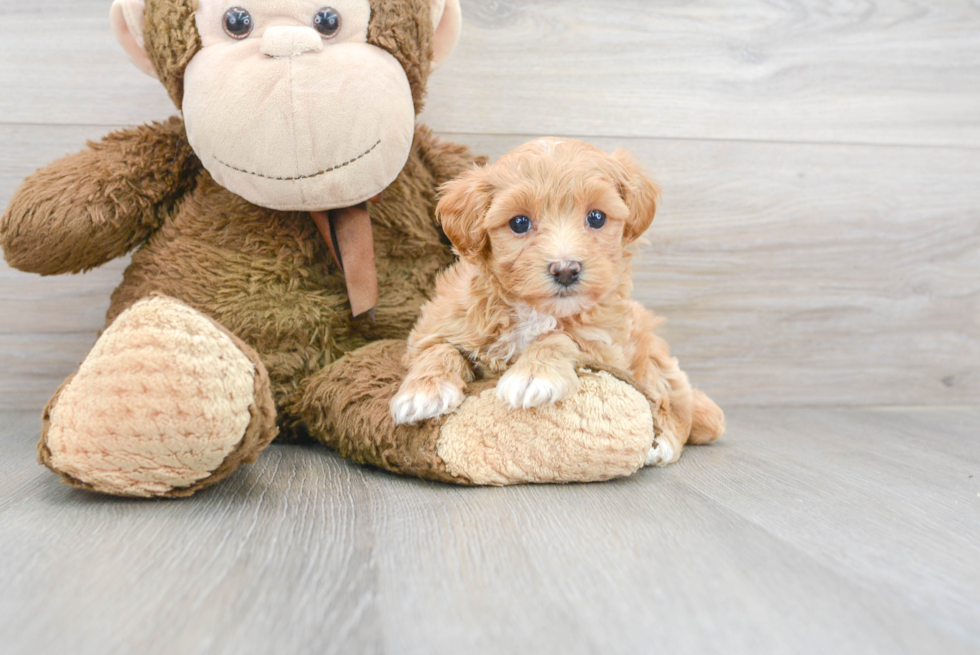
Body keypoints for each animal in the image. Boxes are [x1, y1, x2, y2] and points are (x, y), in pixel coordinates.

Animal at [386, 138, 724, 466]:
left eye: (596, 217)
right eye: (519, 223)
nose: (565, 270)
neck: (536, 310)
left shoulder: (605, 346)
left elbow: (559, 337)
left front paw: (534, 374)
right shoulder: (437, 325)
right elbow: (439, 348)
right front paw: (422, 392)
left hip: (650, 355)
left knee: (673, 401)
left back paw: (663, 443)